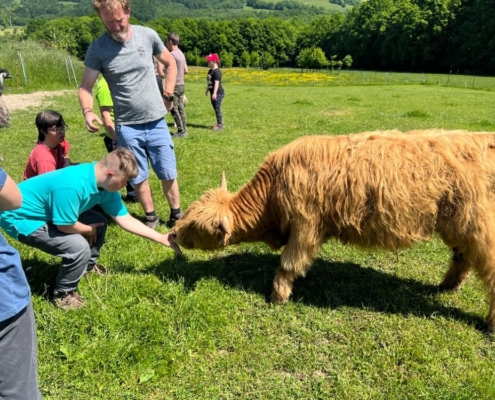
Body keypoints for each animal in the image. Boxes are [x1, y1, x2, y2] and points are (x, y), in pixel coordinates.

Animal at [171, 130, 495, 332]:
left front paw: (276, 296)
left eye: (196, 227)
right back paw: (447, 286)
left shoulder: (305, 225)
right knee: (462, 257)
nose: (173, 232)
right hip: (457, 224)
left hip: (479, 224)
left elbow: (289, 263)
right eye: (188, 213)